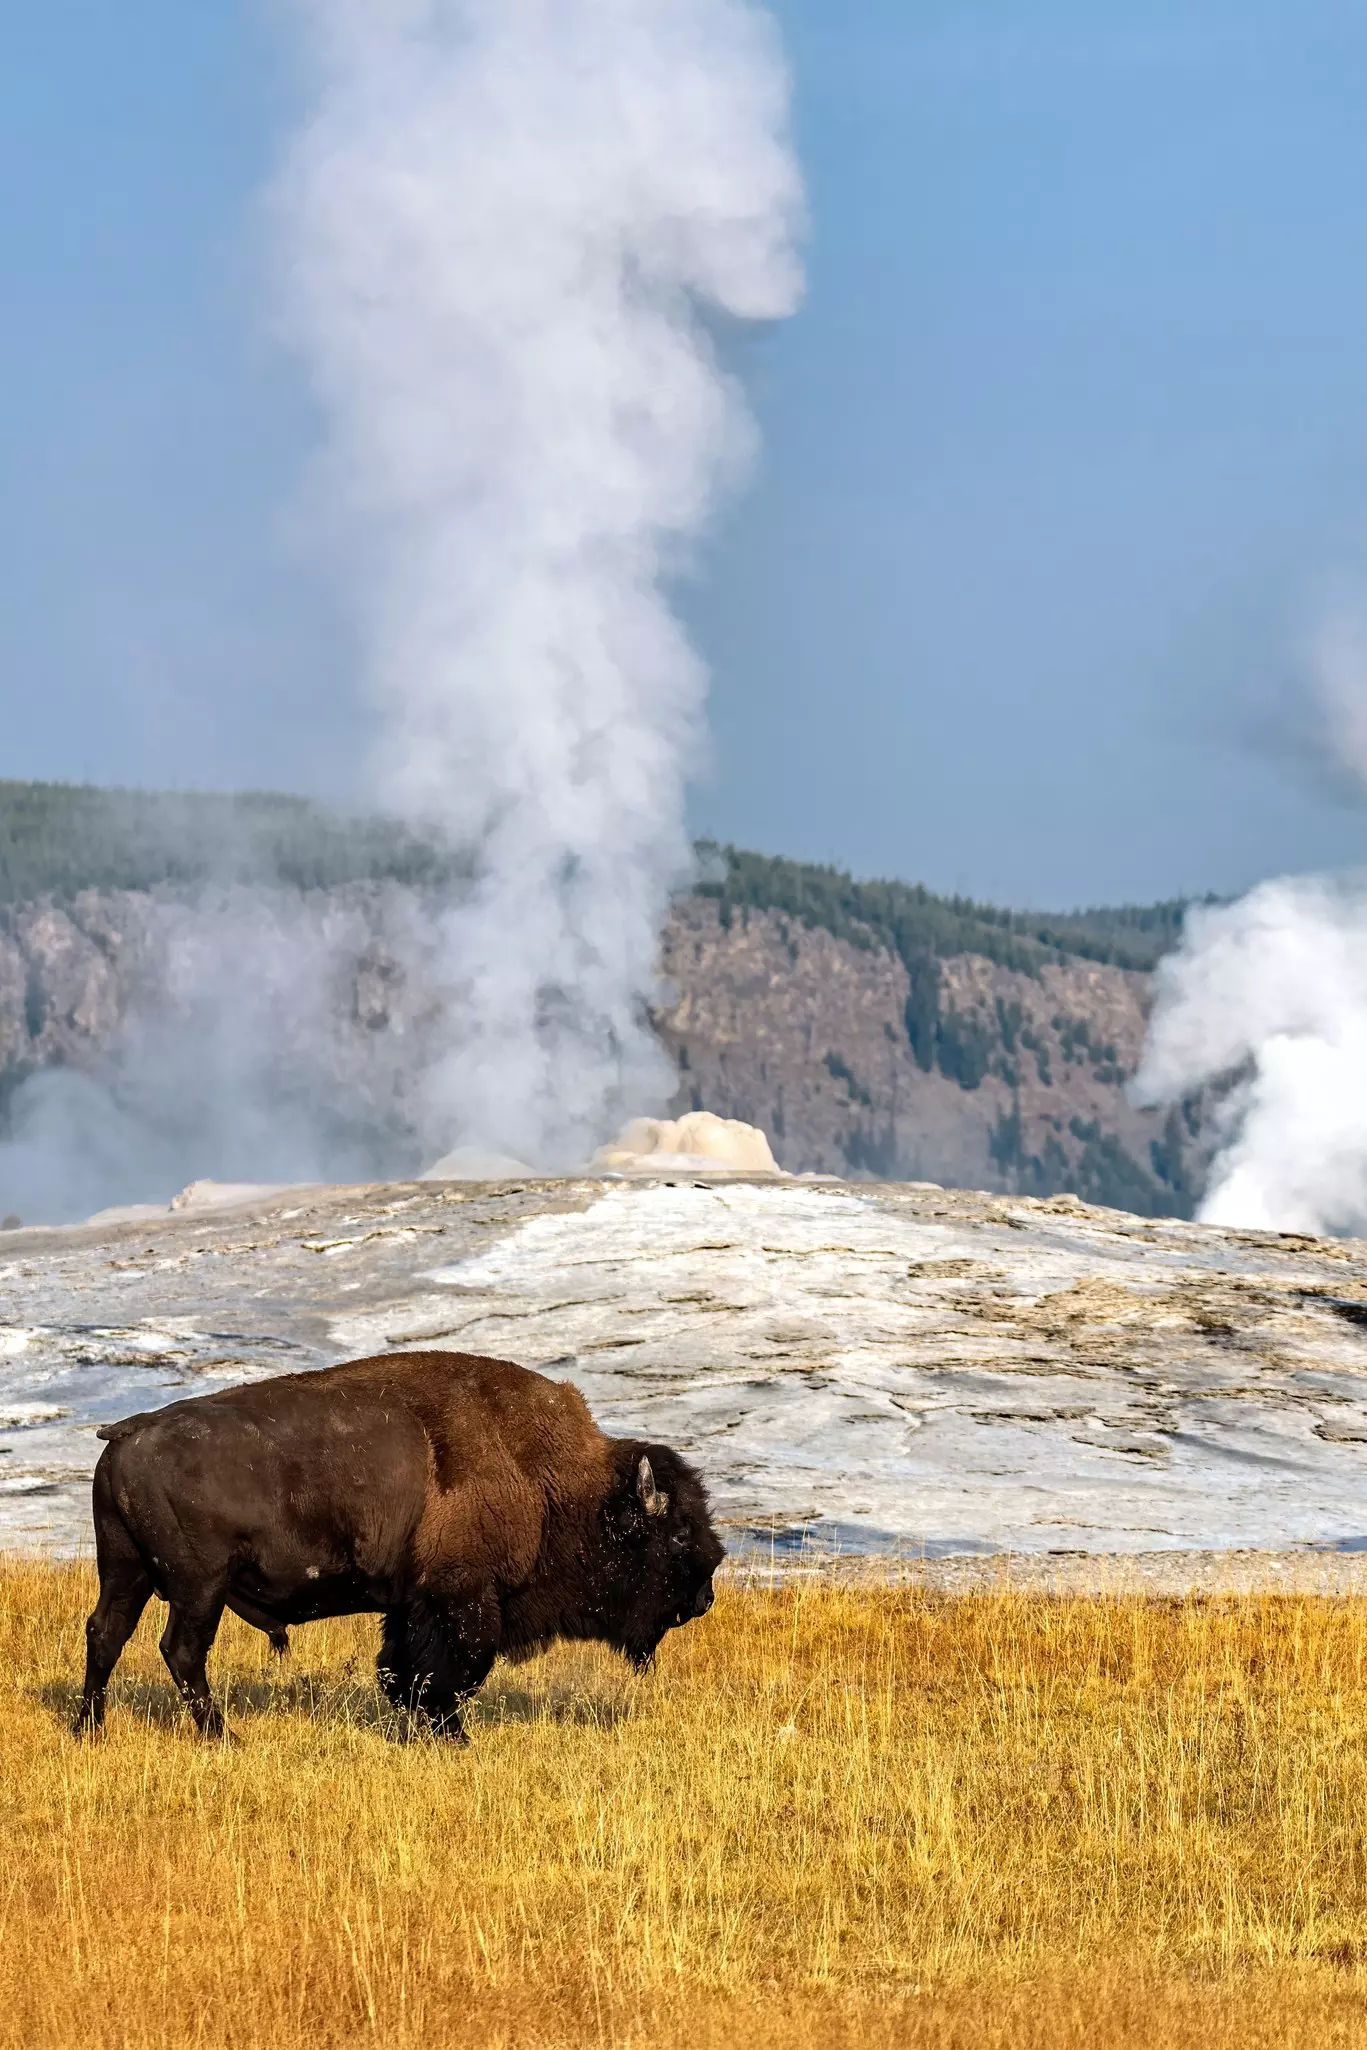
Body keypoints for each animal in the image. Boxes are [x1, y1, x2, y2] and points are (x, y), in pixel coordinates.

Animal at [76, 1350, 723, 1741]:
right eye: (677, 1533)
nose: (705, 1596)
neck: (553, 1481)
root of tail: (130, 1430)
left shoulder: (412, 1604)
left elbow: (399, 1669)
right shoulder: (463, 1600)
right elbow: (452, 1670)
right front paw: (452, 1735)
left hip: (126, 1572)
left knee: (106, 1634)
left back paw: (90, 1729)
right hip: (200, 1587)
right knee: (181, 1650)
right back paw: (223, 1737)